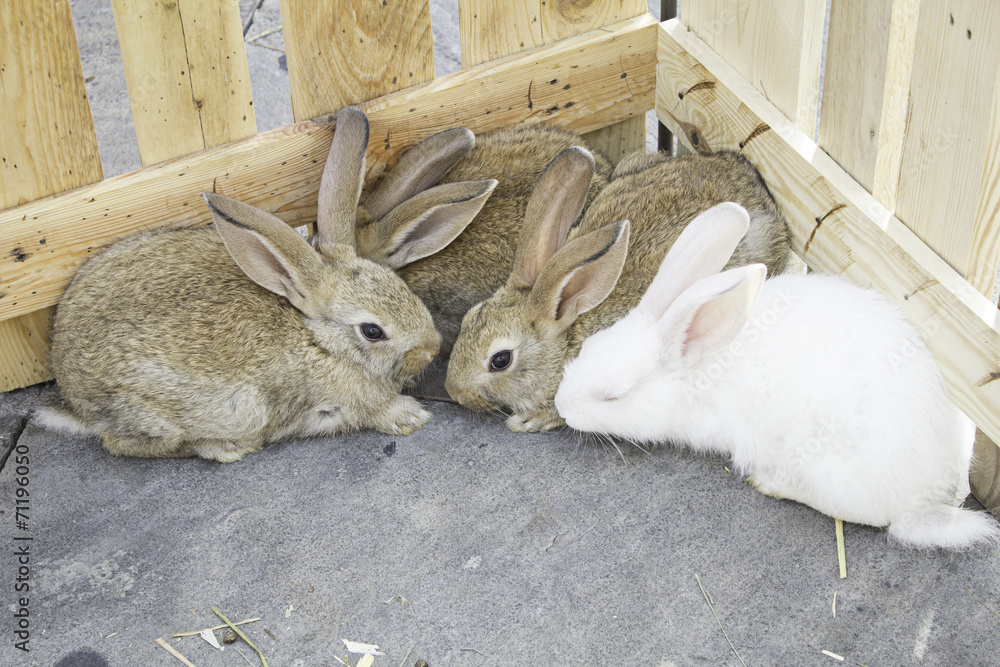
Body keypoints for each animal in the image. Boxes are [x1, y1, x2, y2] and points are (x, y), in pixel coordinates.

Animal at [44, 107, 487, 462]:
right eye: (372, 331)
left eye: (400, 285)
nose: (430, 349)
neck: (321, 343)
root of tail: (71, 393)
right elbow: (374, 411)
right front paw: (412, 416)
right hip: (179, 411)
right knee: (125, 444)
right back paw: (225, 449)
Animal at [555, 202, 998, 549]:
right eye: (586, 348)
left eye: (614, 395)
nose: (561, 407)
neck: (697, 367)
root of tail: (925, 502)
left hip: (830, 472)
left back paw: (768, 483)